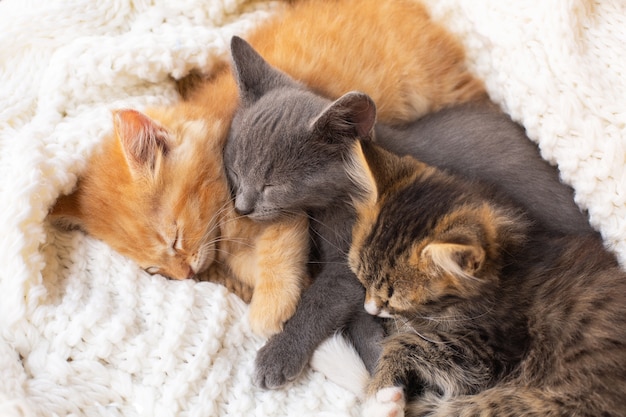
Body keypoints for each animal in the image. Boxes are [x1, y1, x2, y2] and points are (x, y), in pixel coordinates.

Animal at [51, 0, 486, 334]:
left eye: (174, 237)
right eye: (154, 270)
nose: (185, 275)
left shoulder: (286, 213)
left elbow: (277, 255)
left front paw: (267, 312)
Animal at [223, 36, 588, 390]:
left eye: (272, 184)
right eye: (236, 170)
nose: (242, 207)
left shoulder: (357, 260)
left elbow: (323, 300)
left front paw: (279, 354)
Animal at [348, 140, 620, 416]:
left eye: (392, 298)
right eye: (362, 279)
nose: (368, 308)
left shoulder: (492, 352)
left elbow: (405, 342)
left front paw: (379, 395)